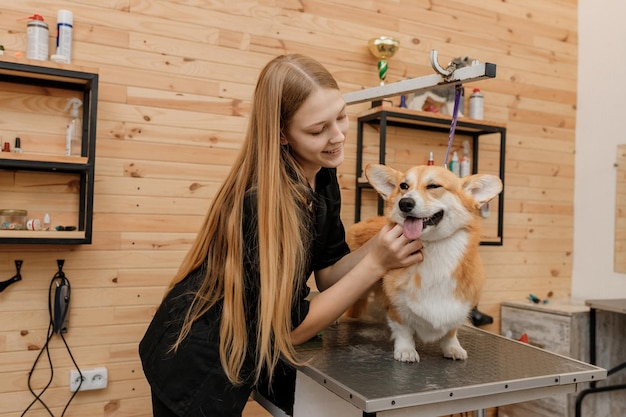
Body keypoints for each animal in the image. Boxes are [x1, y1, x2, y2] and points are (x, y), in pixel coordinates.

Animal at [346, 162, 502, 360]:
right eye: (404, 186)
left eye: (434, 186)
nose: (404, 203)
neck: (433, 249)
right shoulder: (397, 306)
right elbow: (403, 329)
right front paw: (406, 350)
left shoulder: (458, 307)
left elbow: (451, 332)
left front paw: (452, 348)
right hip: (358, 295)